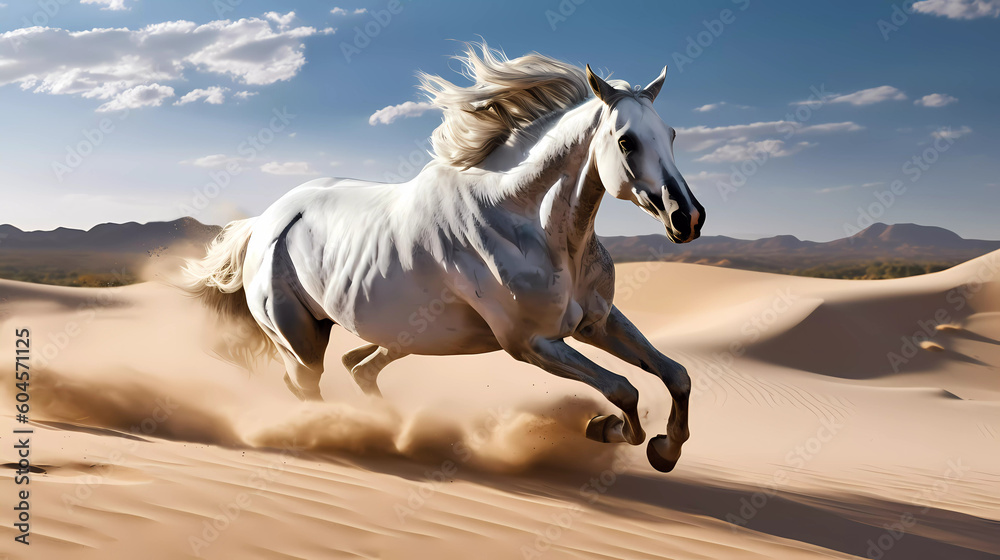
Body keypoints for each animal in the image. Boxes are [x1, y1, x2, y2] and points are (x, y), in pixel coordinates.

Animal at [182, 45, 706, 472]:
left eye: (671, 134)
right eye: (626, 141)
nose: (688, 217)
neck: (529, 225)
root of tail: (265, 223)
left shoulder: (596, 322)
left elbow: (675, 375)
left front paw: (664, 449)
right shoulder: (532, 343)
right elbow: (623, 388)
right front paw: (606, 428)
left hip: (404, 336)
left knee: (359, 367)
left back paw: (393, 428)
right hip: (300, 341)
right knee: (309, 387)